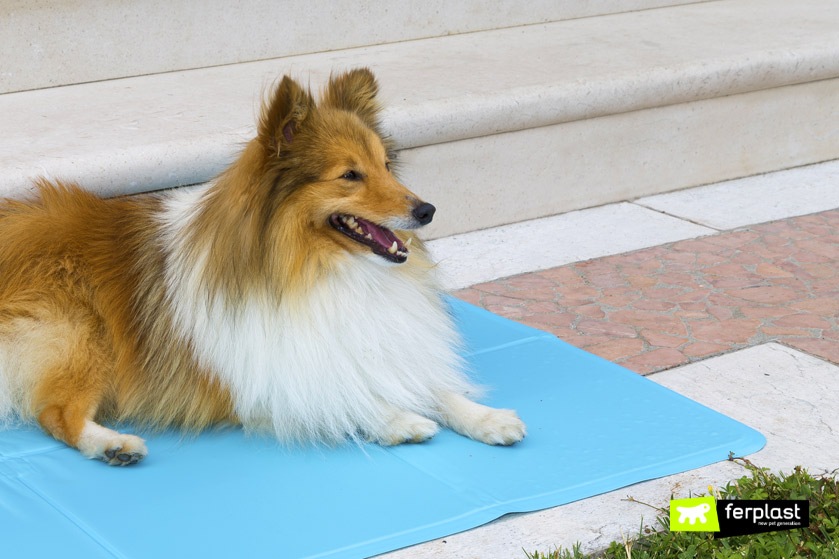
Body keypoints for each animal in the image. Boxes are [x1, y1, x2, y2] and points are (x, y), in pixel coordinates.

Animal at [0, 68, 524, 466]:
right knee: (56, 414)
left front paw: (487, 417)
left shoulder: (367, 343)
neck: (318, 270)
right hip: (80, 334)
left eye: (386, 167)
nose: (427, 211)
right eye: (350, 175)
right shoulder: (260, 377)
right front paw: (397, 419)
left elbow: (429, 385)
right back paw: (112, 444)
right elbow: (337, 396)